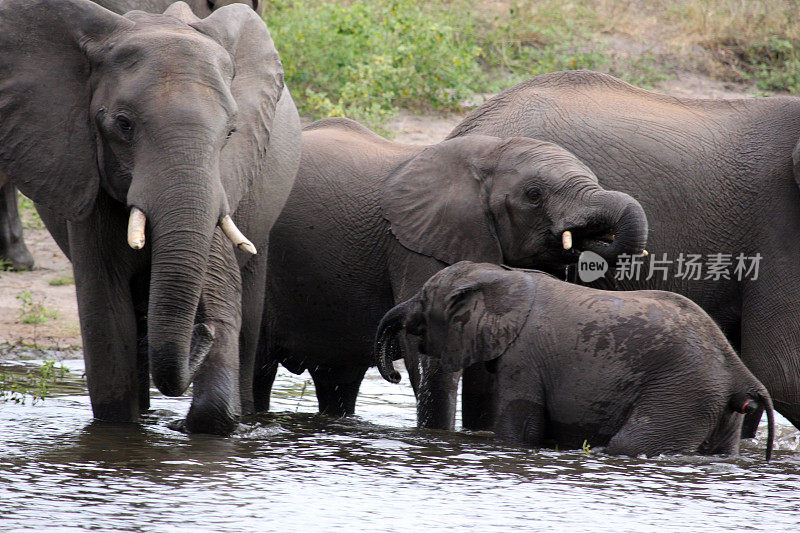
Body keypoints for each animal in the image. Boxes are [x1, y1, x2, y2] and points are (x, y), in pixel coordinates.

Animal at [260, 118, 648, 426]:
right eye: (534, 195)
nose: (587, 239)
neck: (490, 155)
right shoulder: (416, 244)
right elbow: (430, 352)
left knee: (337, 381)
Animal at [376, 260, 776, 460]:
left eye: (423, 299)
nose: (393, 376)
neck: (508, 277)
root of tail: (739, 373)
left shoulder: (525, 358)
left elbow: (519, 432)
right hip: (714, 404)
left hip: (682, 392)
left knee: (631, 445)